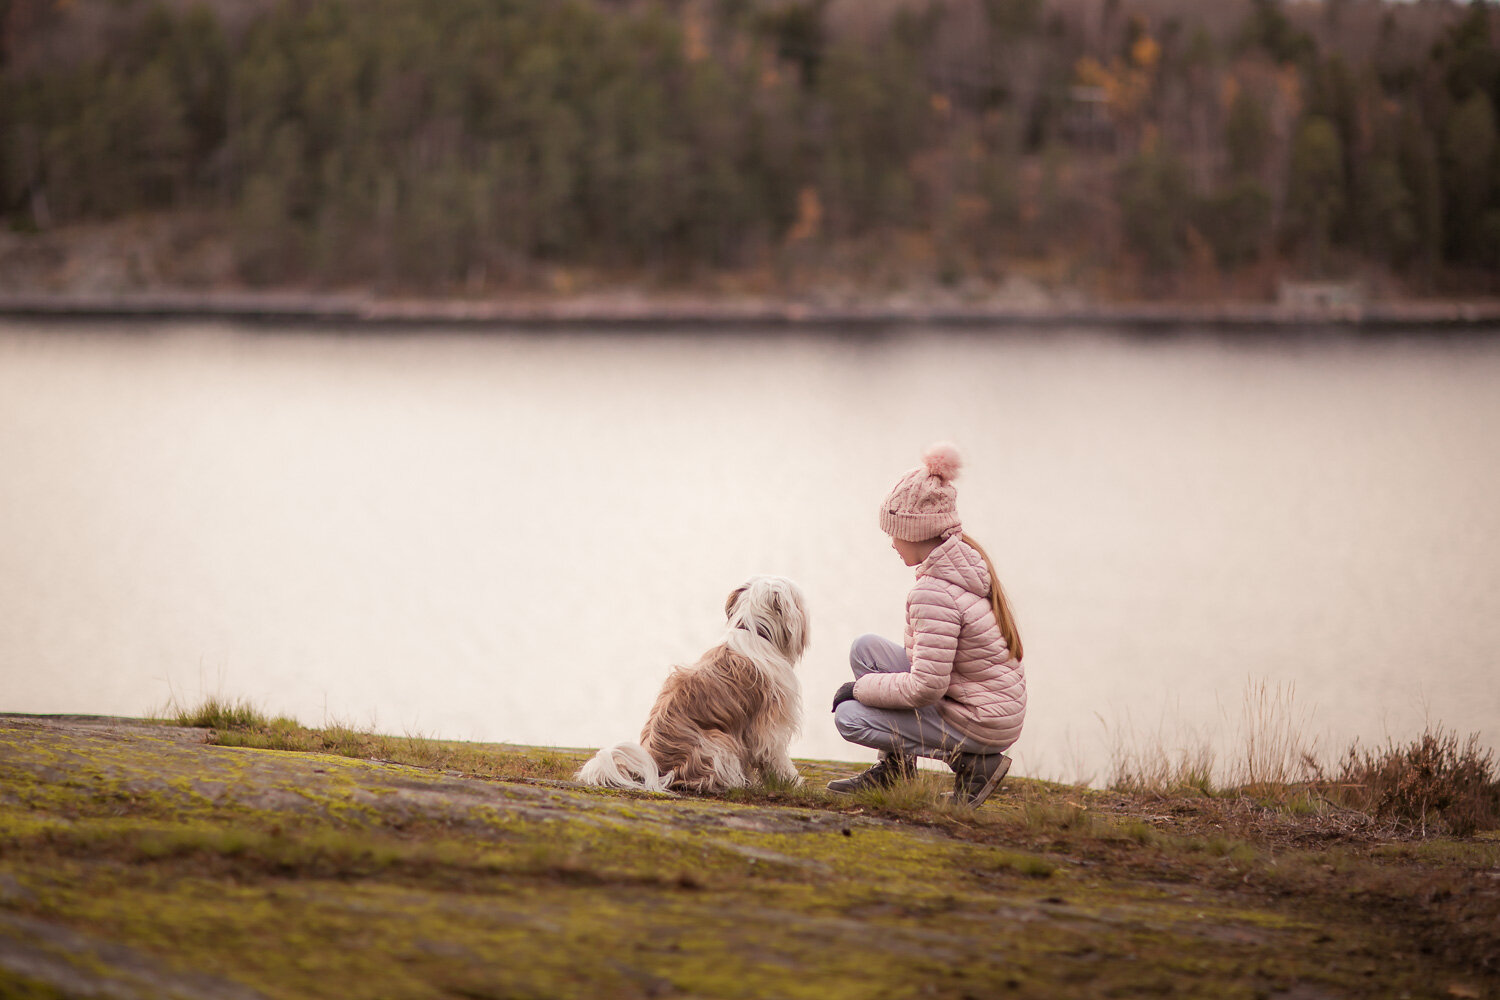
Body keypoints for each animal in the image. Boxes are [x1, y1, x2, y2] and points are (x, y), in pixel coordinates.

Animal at [573, 575, 810, 791]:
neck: (753, 631)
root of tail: (657, 769)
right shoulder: (769, 725)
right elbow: (775, 756)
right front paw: (790, 782)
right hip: (718, 741)